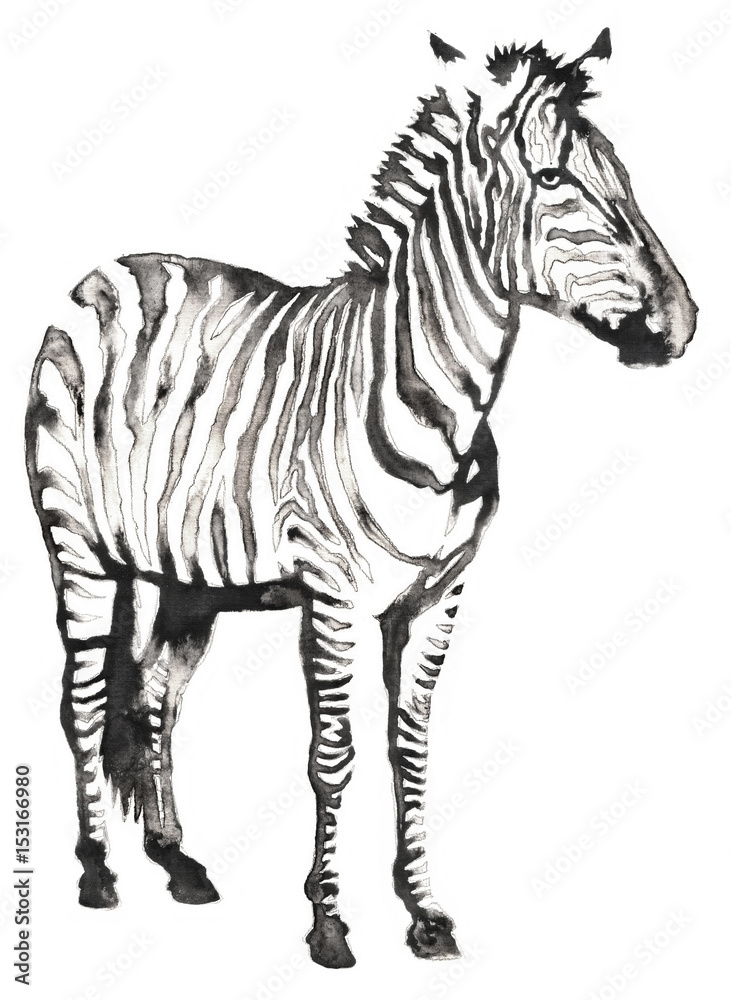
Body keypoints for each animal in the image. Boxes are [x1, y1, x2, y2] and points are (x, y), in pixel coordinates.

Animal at [25, 29, 696, 968]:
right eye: (552, 179)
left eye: (623, 176)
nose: (681, 322)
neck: (438, 397)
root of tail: (116, 267)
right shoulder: (334, 597)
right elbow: (331, 756)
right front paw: (329, 922)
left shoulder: (437, 597)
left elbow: (408, 749)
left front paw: (424, 914)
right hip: (78, 547)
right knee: (84, 701)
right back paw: (96, 874)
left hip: (193, 578)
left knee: (154, 695)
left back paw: (177, 863)